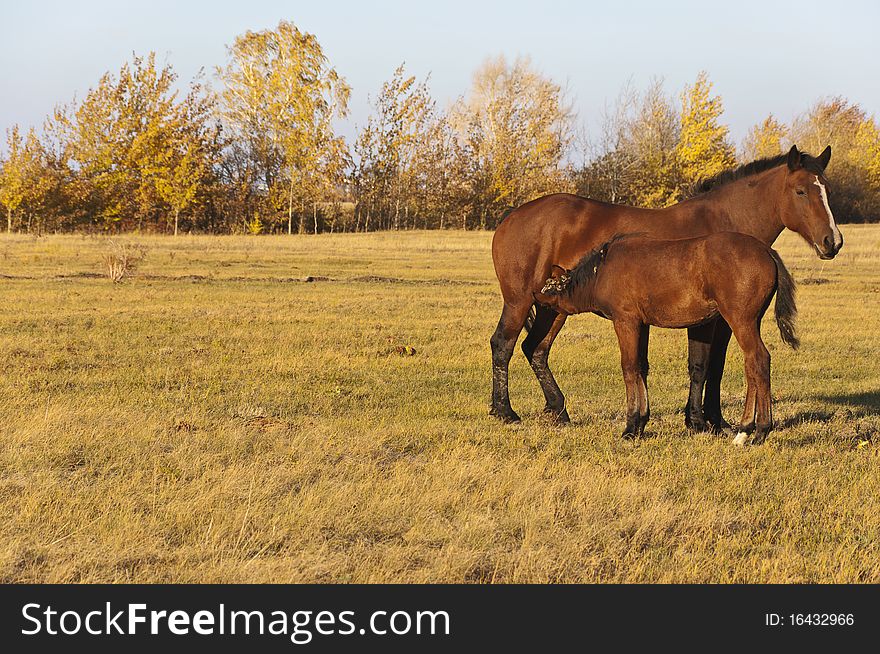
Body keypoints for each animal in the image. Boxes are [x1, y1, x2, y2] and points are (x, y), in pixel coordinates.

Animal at [532, 232, 800, 446]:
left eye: (547, 299)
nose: (535, 305)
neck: (602, 270)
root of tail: (767, 250)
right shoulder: (641, 324)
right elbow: (641, 367)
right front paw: (641, 422)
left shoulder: (626, 321)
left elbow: (629, 368)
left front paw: (630, 427)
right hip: (751, 321)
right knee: (751, 365)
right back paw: (746, 429)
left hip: (740, 320)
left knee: (758, 360)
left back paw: (756, 430)